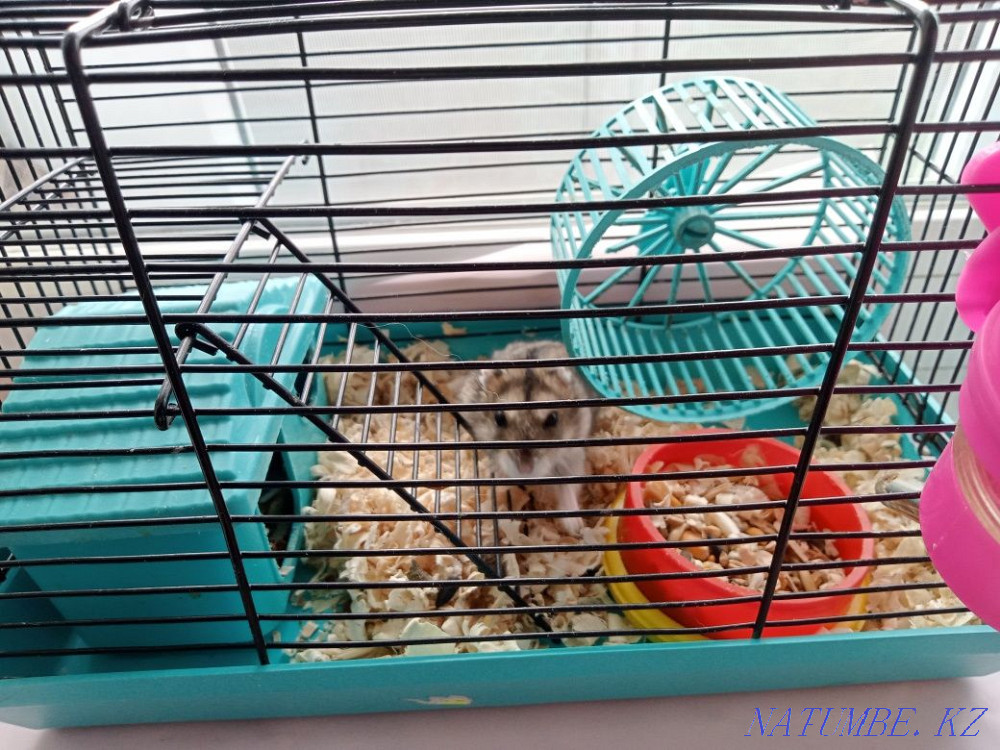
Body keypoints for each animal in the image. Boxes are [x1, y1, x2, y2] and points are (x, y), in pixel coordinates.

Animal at [460, 340, 595, 535]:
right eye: (499, 418)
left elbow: (567, 485)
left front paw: (575, 527)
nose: (524, 470)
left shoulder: (572, 457)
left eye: (553, 419)